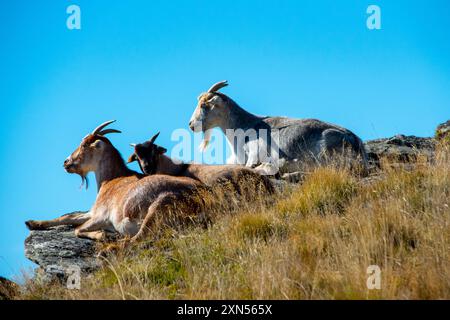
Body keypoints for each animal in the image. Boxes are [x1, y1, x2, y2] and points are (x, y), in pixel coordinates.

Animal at [25, 120, 207, 242]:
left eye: (84, 145)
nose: (66, 162)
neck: (111, 179)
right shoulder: (92, 212)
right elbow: (69, 217)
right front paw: (32, 223)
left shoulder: (102, 216)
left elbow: (77, 229)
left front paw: (102, 234)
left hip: (159, 206)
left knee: (137, 239)